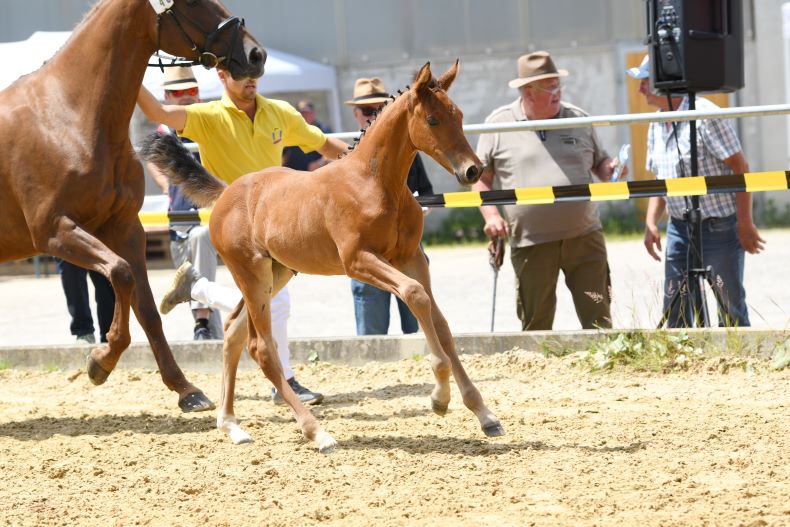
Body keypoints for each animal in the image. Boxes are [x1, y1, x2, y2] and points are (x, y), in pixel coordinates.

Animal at [142, 60, 504, 450]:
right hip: (252, 272)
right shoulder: (358, 261)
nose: (472, 169)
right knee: (260, 347)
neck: (375, 183)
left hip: (277, 271)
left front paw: (484, 414)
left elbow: (441, 324)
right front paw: (439, 397)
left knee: (234, 331)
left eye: (459, 115)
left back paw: (231, 425)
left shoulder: (411, 258)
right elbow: (415, 295)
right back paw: (316, 431)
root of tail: (225, 194)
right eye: (433, 119)